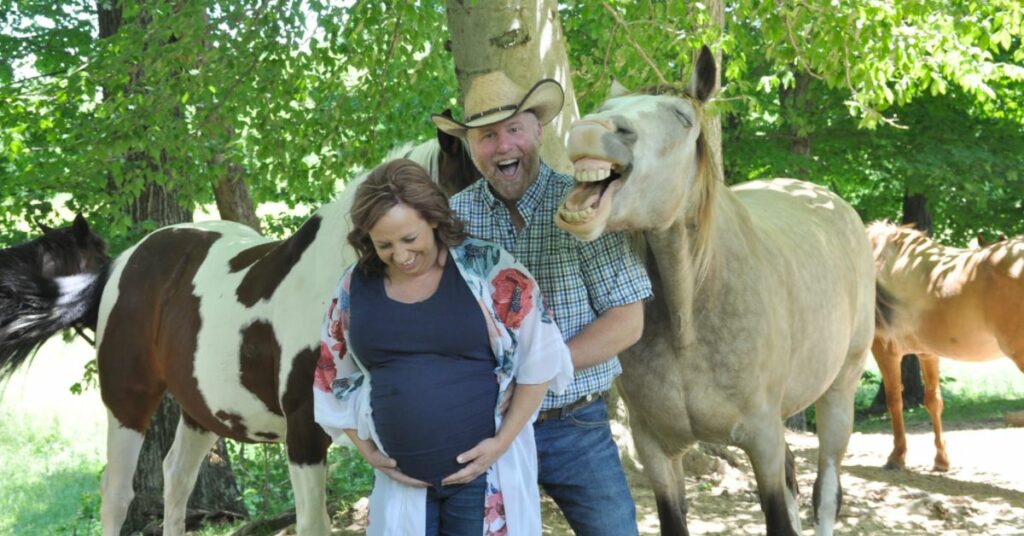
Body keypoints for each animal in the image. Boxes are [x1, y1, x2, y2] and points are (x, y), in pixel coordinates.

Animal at [0, 131, 479, 536]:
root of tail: (122, 263)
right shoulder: (305, 437)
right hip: (127, 402)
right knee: (117, 493)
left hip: (201, 408)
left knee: (177, 478)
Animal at [552, 46, 872, 536]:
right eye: (606, 107)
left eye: (683, 117)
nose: (591, 130)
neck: (690, 315)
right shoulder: (655, 450)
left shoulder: (761, 437)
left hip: (840, 392)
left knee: (826, 494)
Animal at [864, 220, 1024, 471]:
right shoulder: (927, 353)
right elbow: (933, 401)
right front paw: (941, 459)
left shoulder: (884, 349)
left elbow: (894, 400)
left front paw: (897, 455)